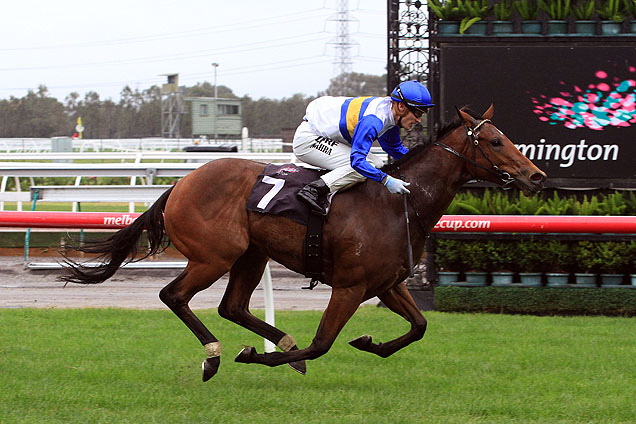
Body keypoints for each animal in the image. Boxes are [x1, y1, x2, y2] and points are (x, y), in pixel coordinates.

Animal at [60, 105, 548, 380]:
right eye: (494, 140)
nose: (537, 175)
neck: (396, 204)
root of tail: (179, 185)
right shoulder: (350, 286)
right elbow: (323, 344)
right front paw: (257, 358)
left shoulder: (387, 283)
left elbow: (419, 326)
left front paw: (368, 343)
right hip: (215, 255)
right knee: (174, 296)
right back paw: (215, 356)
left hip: (251, 255)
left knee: (232, 306)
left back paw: (279, 344)